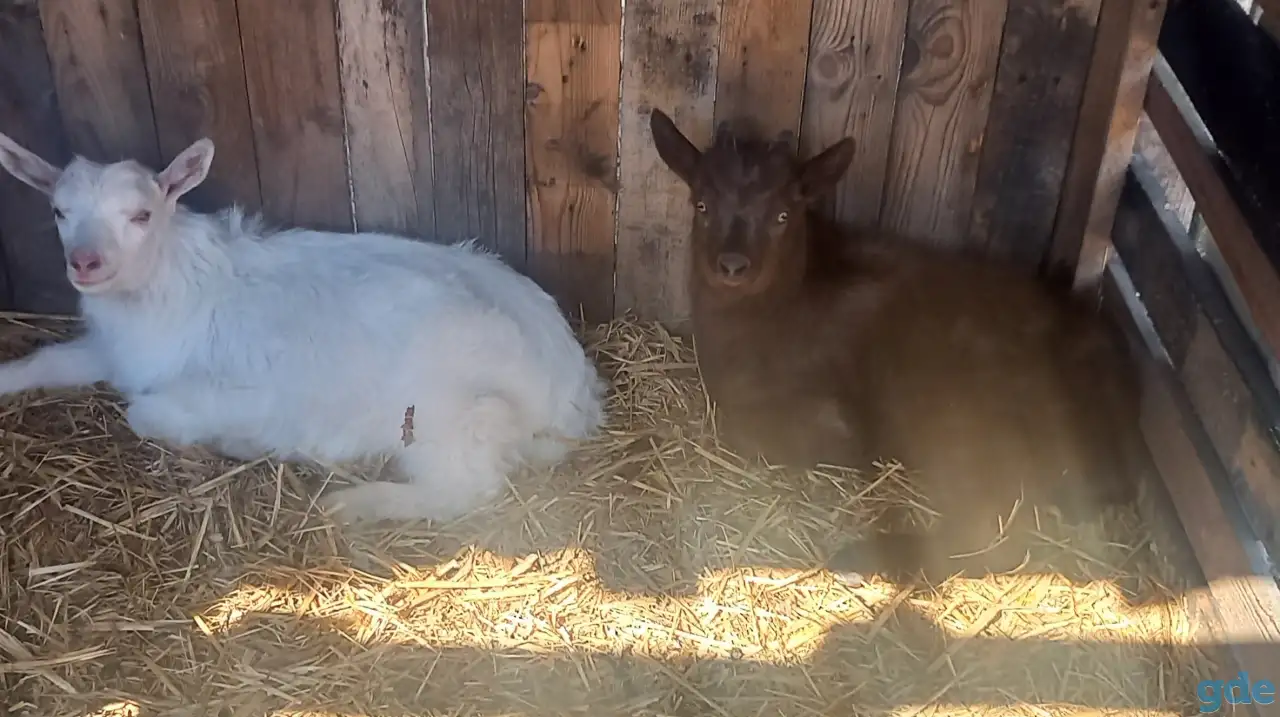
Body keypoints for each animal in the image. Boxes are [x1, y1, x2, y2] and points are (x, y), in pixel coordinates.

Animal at [0, 132, 605, 524]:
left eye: (141, 215)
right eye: (58, 211)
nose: (85, 263)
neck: (176, 288)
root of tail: (574, 396)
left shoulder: (244, 393)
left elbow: (143, 413)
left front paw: (236, 443)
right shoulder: (114, 350)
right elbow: (51, 360)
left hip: (446, 410)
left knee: (466, 487)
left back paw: (357, 504)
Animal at [649, 109, 1150, 583]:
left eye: (783, 215)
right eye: (701, 204)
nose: (733, 264)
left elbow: (762, 435)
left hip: (961, 412)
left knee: (997, 530)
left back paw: (862, 556)